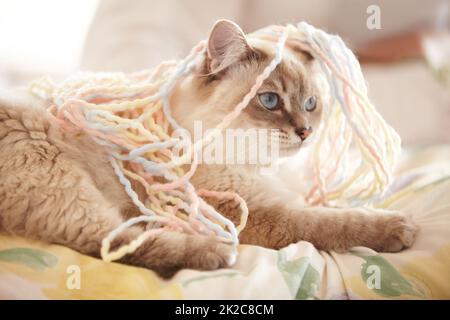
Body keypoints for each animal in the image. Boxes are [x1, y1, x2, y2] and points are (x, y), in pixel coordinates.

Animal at [0, 20, 418, 278]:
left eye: (311, 103)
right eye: (269, 101)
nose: (306, 131)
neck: (262, 166)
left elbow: (330, 206)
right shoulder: (256, 211)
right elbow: (331, 222)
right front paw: (398, 226)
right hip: (64, 178)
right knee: (108, 243)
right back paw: (215, 251)